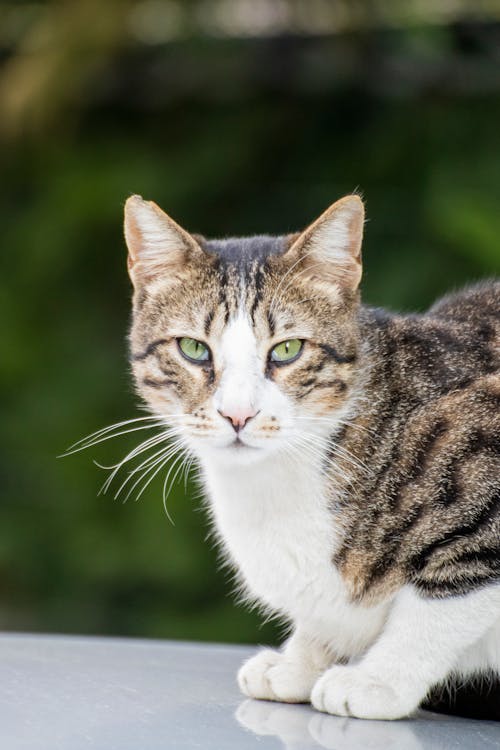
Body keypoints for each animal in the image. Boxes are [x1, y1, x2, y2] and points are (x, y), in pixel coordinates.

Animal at [122, 194, 500, 724]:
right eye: (194, 348)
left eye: (287, 349)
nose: (238, 414)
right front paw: (300, 660)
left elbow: (439, 604)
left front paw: (377, 680)